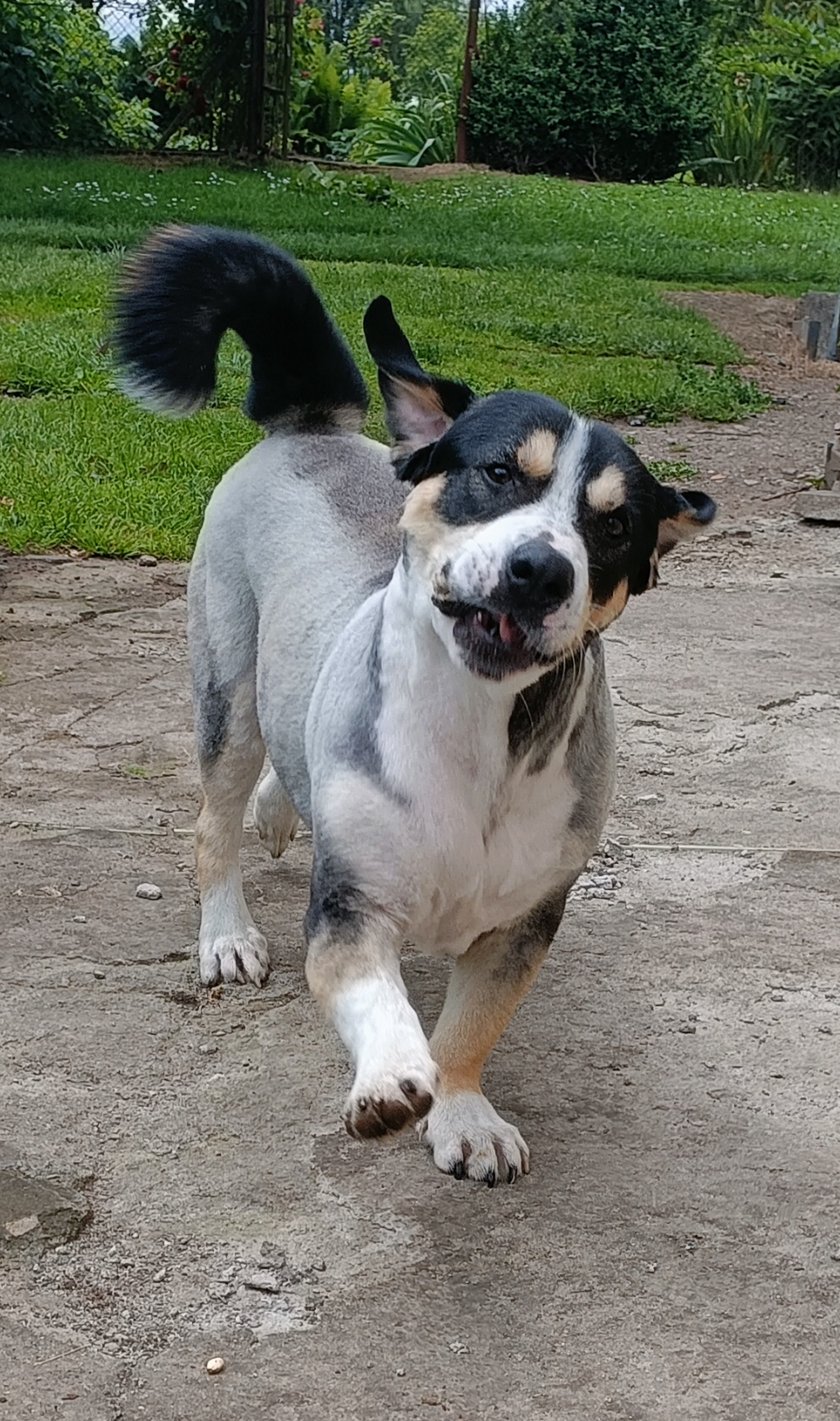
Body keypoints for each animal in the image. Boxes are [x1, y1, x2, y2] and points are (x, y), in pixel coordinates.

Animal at [113, 227, 716, 1182]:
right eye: (499, 472)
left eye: (615, 526)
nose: (540, 570)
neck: (479, 733)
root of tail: (312, 425)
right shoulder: (351, 907)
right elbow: (375, 996)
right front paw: (393, 1076)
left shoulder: (524, 921)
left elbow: (472, 1025)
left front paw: (464, 1110)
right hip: (226, 687)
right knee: (215, 818)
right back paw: (225, 932)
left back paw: (280, 807)